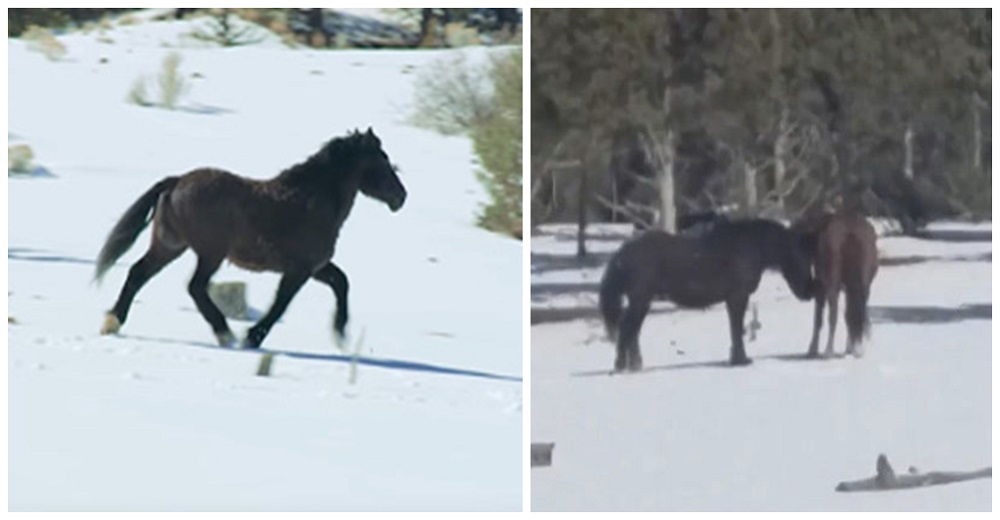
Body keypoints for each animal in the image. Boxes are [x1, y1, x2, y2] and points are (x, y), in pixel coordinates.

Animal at [94, 127, 406, 350]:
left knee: (138, 274)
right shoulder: (300, 270)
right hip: (209, 253)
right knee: (195, 287)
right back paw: (226, 334)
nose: (401, 197)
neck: (311, 200)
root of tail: (177, 181)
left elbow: (341, 282)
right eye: (383, 161)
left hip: (170, 246)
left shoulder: (316, 267)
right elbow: (281, 304)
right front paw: (252, 337)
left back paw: (112, 322)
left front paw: (340, 334)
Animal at [596, 219, 816, 374]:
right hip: (640, 300)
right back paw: (622, 366)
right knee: (627, 329)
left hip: (642, 301)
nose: (810, 291)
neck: (750, 245)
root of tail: (621, 254)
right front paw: (741, 360)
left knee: (632, 331)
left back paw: (635, 365)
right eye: (804, 258)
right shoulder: (738, 296)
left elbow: (735, 328)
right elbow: (737, 328)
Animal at [792, 211, 880, 358]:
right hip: (864, 286)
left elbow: (818, 318)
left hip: (832, 285)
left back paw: (829, 350)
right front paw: (850, 347)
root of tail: (851, 232)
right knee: (854, 311)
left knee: (833, 316)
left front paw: (813, 348)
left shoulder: (821, 288)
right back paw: (857, 348)